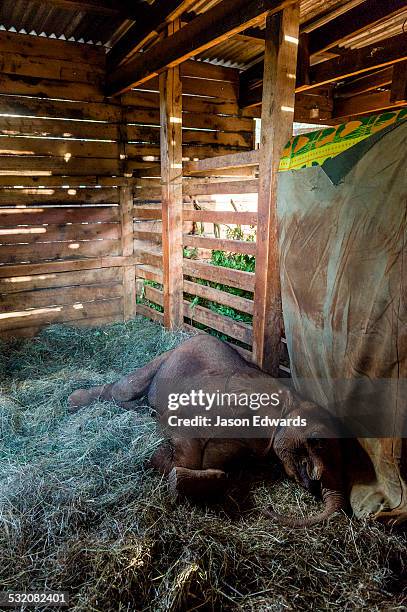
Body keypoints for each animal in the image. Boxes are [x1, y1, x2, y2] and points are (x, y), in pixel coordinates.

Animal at [68, 334, 346, 524]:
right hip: (167, 358)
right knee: (122, 389)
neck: (292, 400)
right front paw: (161, 463)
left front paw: (182, 478)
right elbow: (182, 438)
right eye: (318, 441)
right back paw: (74, 401)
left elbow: (221, 471)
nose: (269, 510)